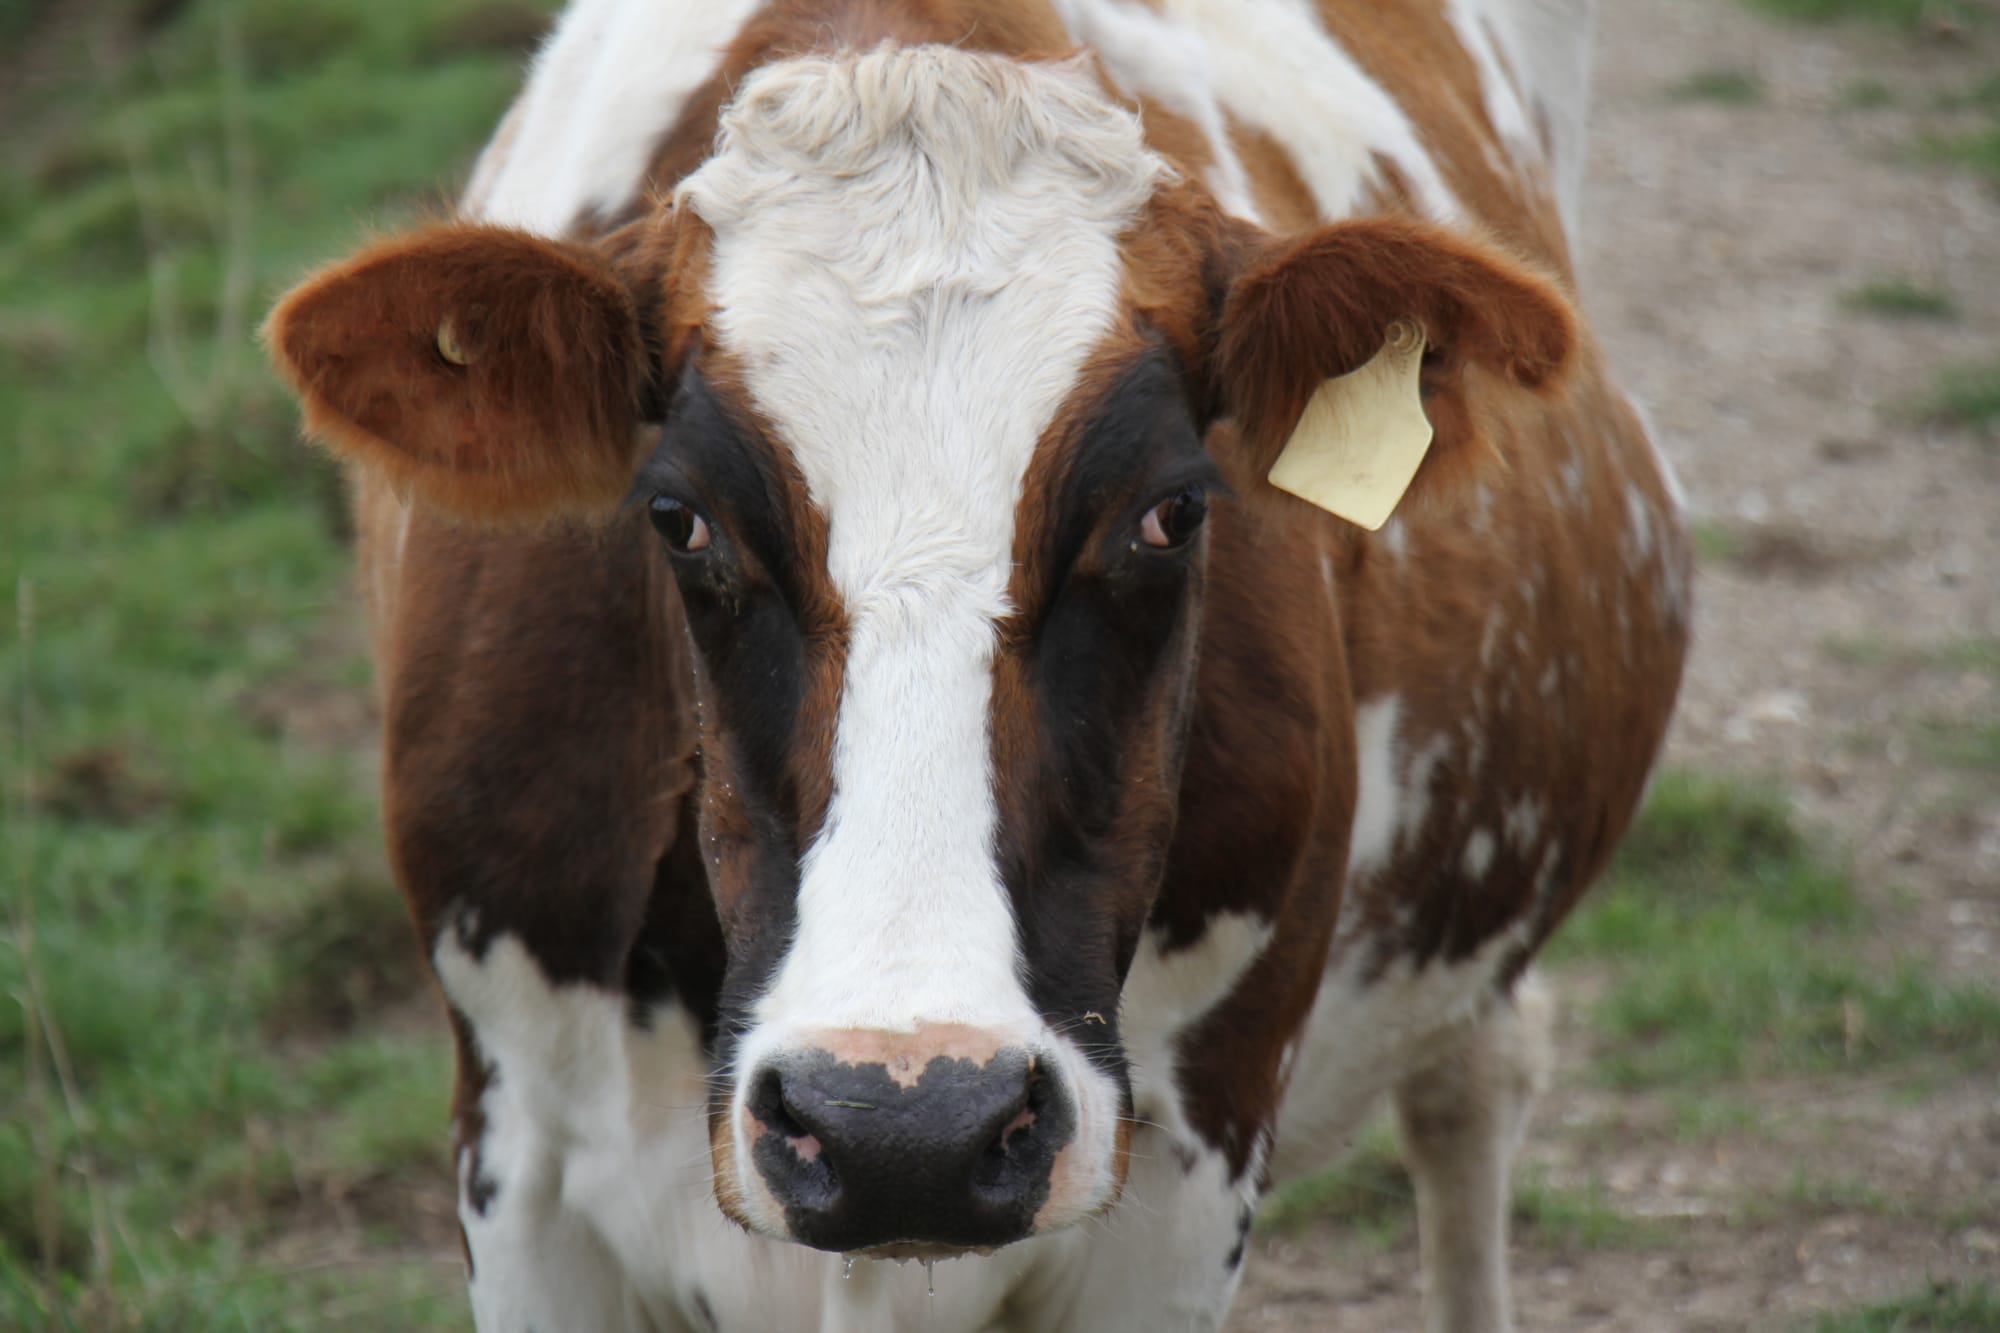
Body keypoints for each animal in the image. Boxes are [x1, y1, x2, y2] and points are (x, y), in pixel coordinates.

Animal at [264, 1, 1689, 1329]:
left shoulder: (1184, 1180)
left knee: (1471, 1083)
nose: (905, 1125)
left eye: (1171, 510)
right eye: (678, 518)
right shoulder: (522, 1160)